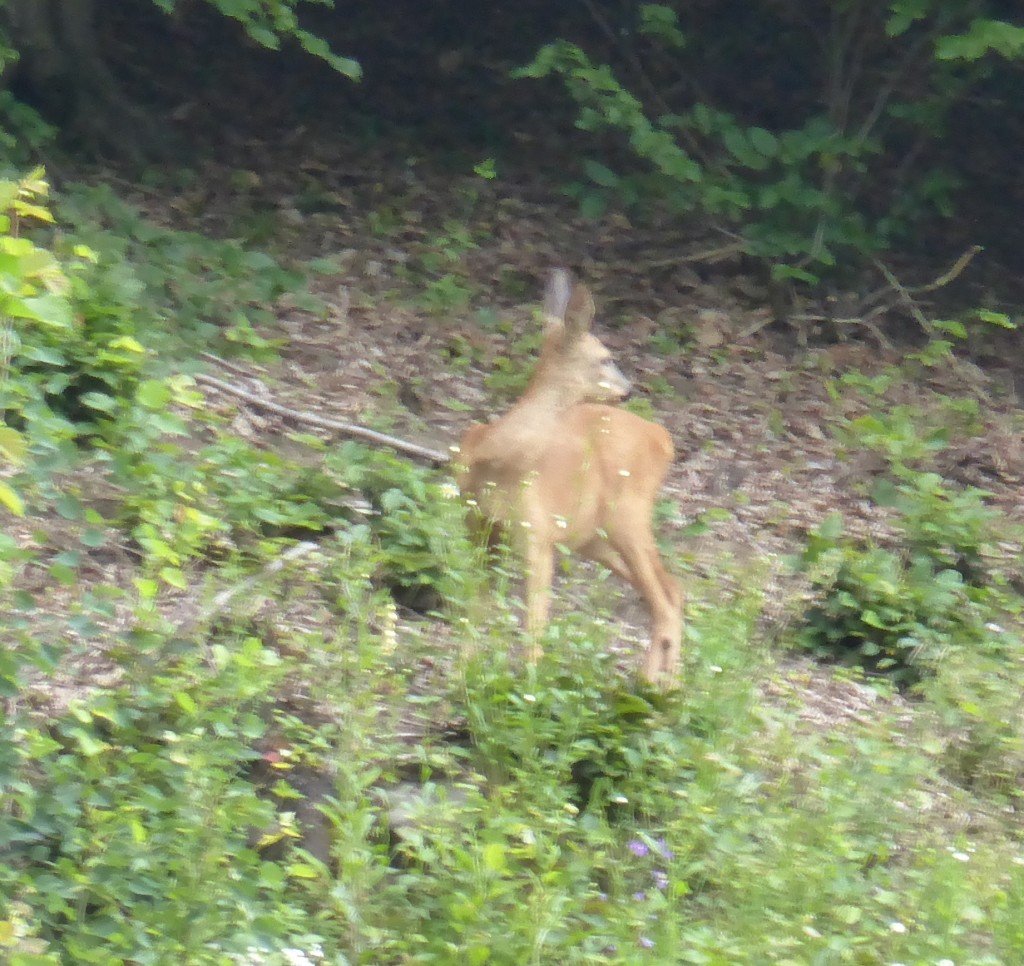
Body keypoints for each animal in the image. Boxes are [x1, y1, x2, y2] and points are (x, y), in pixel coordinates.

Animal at [454, 268, 679, 684]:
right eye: (606, 358)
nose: (628, 390)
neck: (500, 455)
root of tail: (663, 438)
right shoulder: (479, 528)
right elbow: (474, 607)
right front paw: (462, 673)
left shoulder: (537, 532)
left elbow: (534, 623)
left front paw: (527, 687)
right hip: (594, 536)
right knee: (674, 589)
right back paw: (664, 684)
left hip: (628, 516)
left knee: (665, 600)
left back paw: (654, 689)